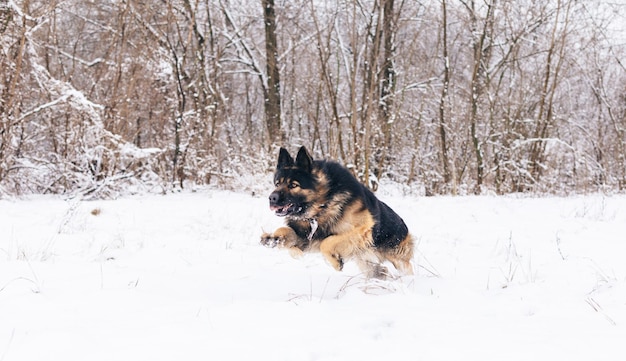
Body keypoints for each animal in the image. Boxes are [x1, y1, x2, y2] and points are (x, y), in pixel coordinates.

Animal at [260, 145, 412, 278]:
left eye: (293, 185)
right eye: (277, 183)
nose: (271, 198)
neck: (324, 202)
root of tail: (404, 226)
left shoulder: (361, 229)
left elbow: (327, 242)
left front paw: (335, 263)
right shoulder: (306, 236)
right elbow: (283, 231)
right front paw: (274, 240)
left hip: (398, 260)